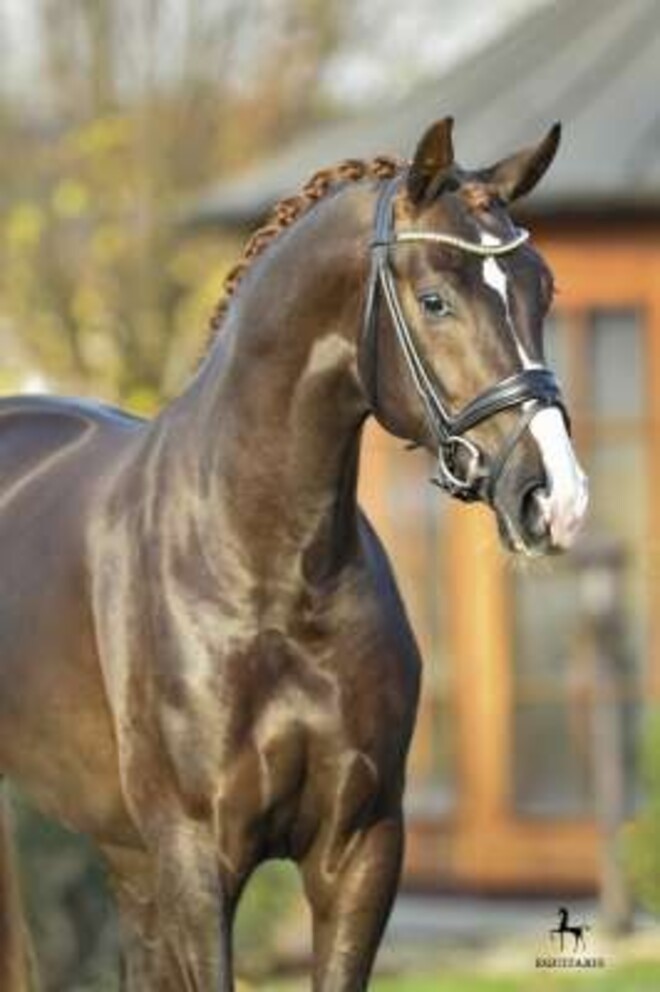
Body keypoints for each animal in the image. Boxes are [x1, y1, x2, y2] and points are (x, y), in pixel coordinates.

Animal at [0, 116, 588, 990]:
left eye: (541, 288)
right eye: (435, 299)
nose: (557, 496)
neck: (268, 573)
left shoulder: (361, 849)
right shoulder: (196, 861)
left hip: (124, 856)